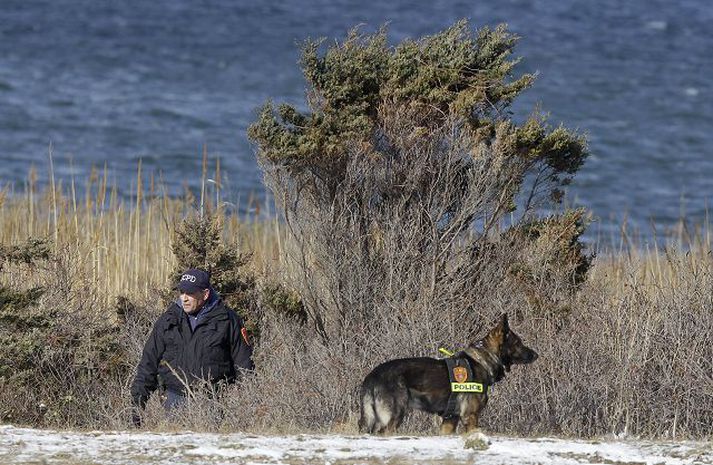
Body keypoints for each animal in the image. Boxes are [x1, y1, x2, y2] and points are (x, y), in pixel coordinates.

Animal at [358, 314, 536, 434]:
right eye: (518, 343)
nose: (536, 355)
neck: (484, 359)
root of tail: (372, 376)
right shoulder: (471, 417)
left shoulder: (450, 421)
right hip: (393, 417)